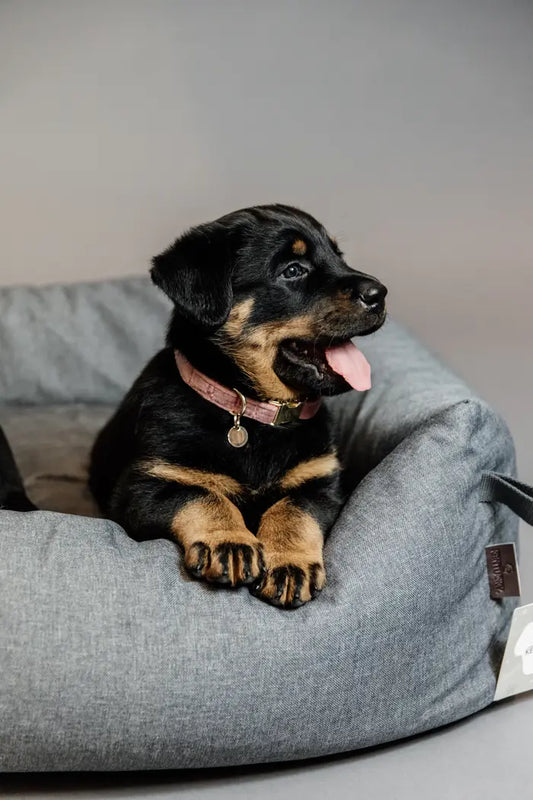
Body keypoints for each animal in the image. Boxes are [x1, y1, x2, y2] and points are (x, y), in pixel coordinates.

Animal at [89, 205, 384, 608]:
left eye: (339, 256)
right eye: (293, 270)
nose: (380, 293)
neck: (254, 413)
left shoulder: (322, 485)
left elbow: (293, 510)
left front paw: (289, 563)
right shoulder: (141, 487)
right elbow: (202, 494)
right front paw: (230, 542)